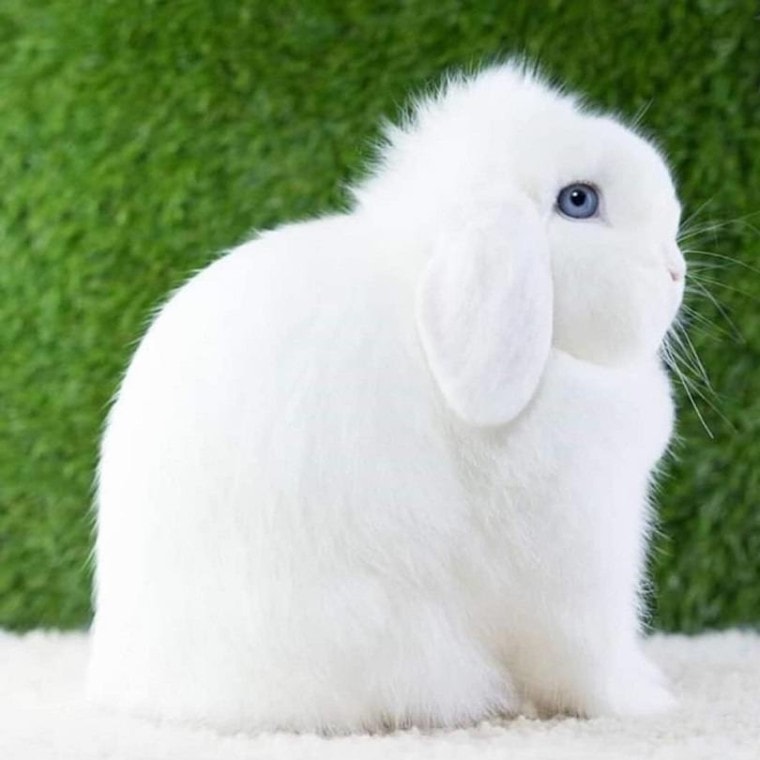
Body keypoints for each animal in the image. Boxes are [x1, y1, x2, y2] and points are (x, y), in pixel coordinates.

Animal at [86, 62, 684, 732]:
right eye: (579, 200)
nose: (675, 270)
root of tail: (142, 691)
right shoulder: (575, 555)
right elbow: (587, 659)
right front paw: (644, 702)